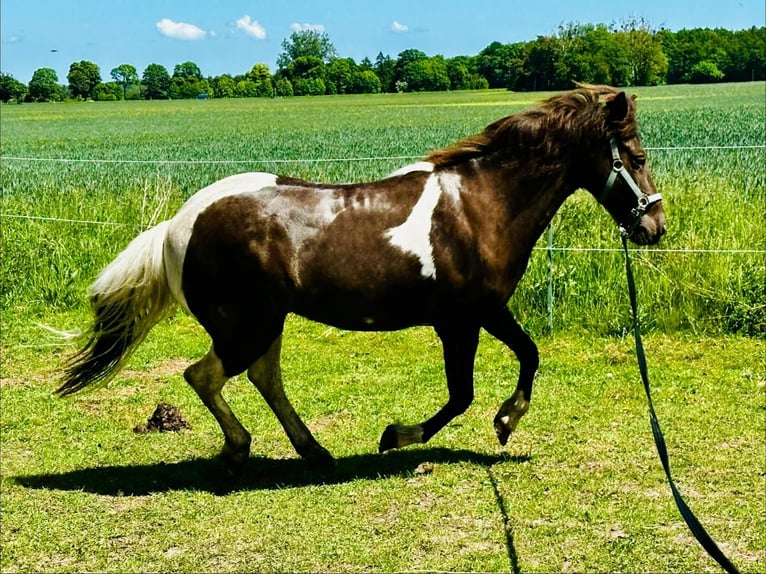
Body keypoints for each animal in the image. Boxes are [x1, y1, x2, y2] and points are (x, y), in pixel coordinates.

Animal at [57, 85, 666, 471]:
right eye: (635, 157)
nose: (654, 226)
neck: (479, 206)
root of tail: (177, 225)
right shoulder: (465, 318)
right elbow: (467, 392)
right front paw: (410, 435)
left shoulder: (481, 314)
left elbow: (522, 358)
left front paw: (504, 421)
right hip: (244, 325)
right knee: (204, 376)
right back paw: (238, 451)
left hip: (266, 322)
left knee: (263, 378)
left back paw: (313, 451)